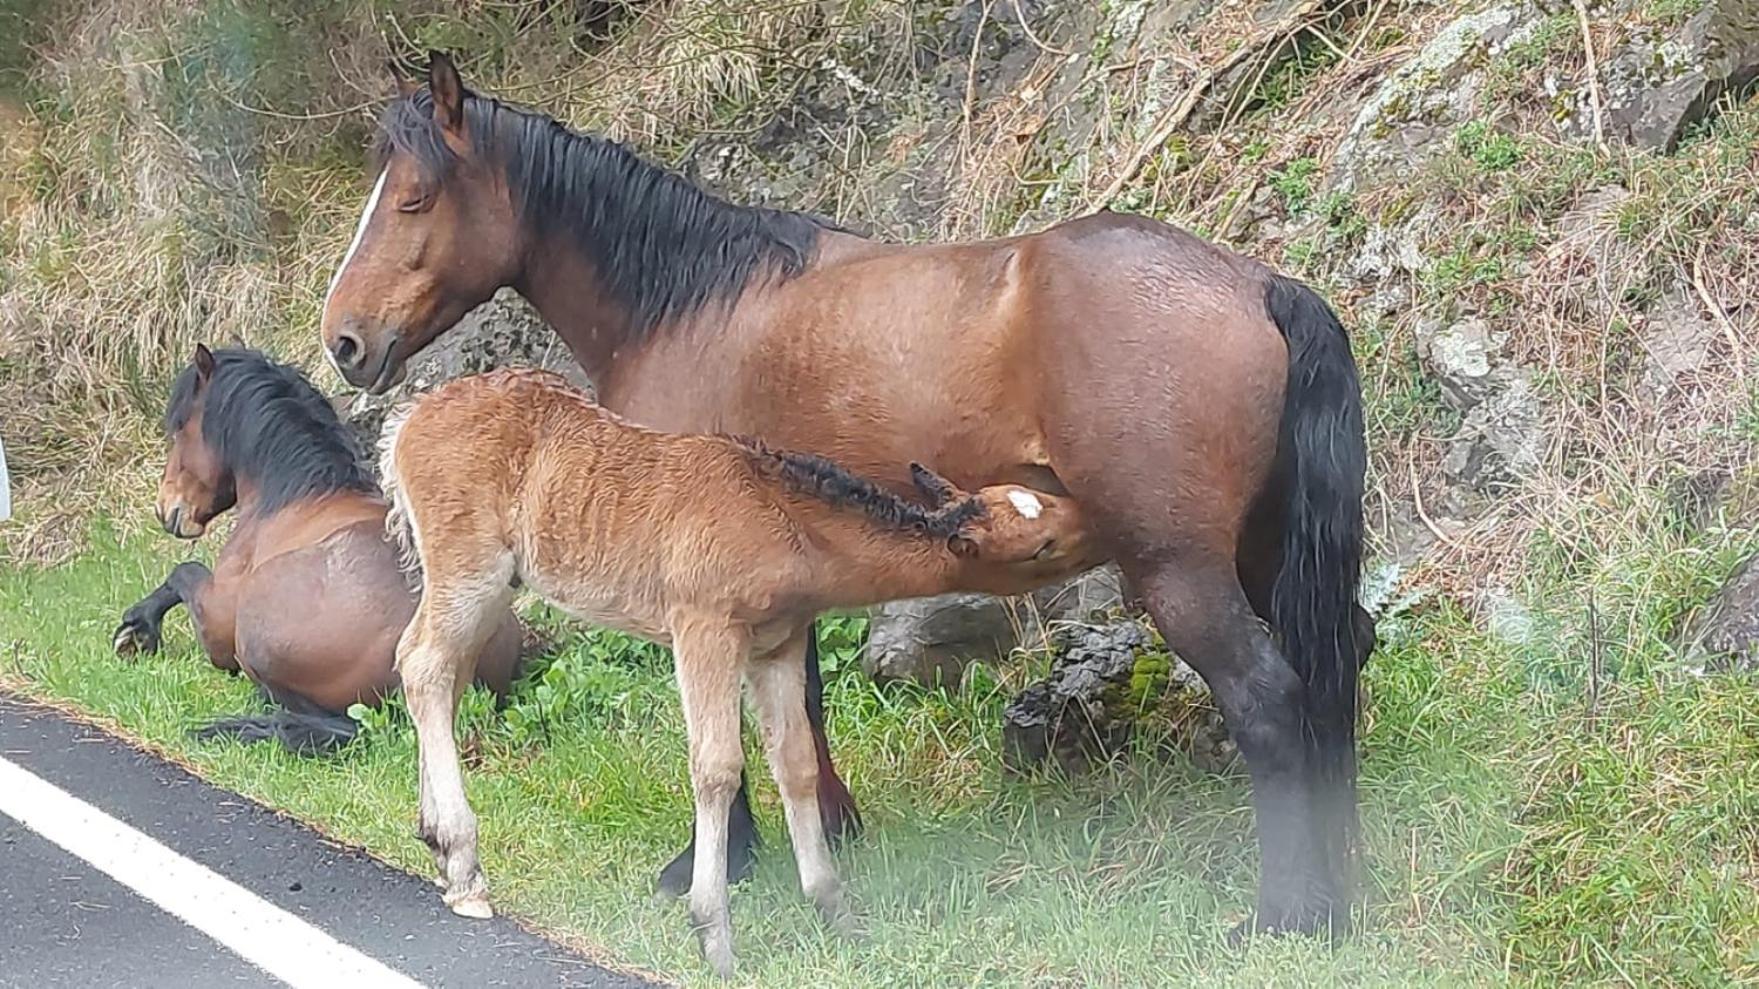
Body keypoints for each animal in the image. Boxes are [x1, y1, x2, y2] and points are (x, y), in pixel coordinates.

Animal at [109, 344, 517, 746]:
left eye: (180, 428)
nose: (165, 508)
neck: (296, 494)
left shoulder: (217, 622)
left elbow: (183, 573)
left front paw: (137, 629)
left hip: (256, 639)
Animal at [385, 364, 1097, 971]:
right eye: (1042, 546)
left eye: (1033, 497)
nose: (1099, 520)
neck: (791, 530)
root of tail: (407, 419)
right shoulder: (703, 626)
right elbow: (718, 766)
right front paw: (714, 935)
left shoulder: (778, 644)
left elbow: (798, 763)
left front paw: (836, 913)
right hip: (470, 569)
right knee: (421, 664)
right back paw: (466, 867)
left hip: (490, 584)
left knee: (439, 670)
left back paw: (440, 847)